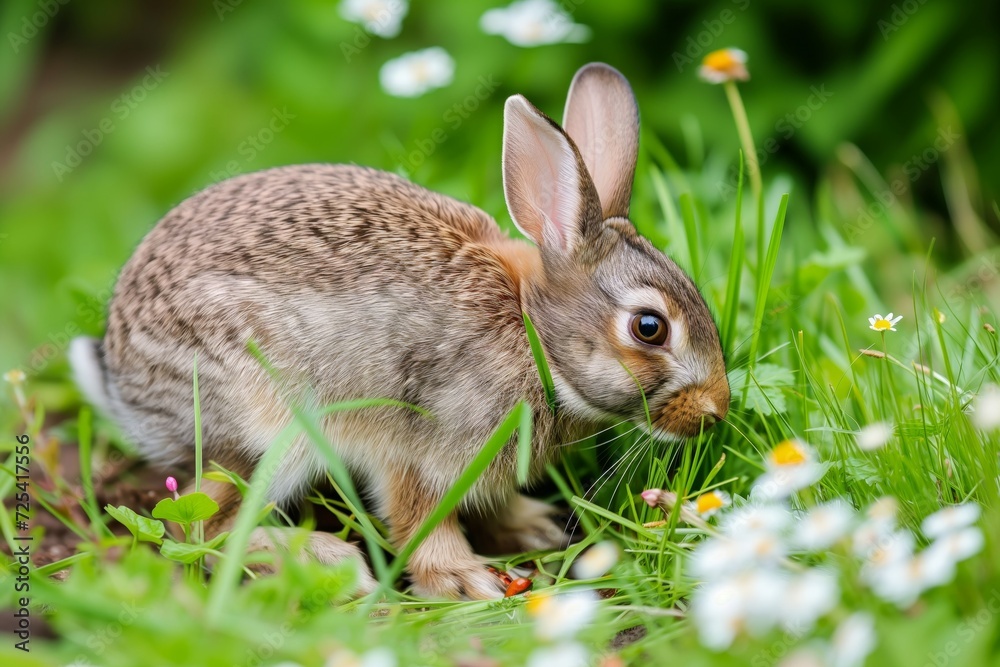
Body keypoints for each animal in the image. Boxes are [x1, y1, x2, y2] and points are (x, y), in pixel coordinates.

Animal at [69, 62, 730, 599]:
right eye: (649, 327)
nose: (715, 411)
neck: (530, 331)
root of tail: (126, 386)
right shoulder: (424, 444)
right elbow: (420, 518)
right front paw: (464, 581)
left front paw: (529, 527)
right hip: (267, 428)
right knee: (204, 527)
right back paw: (327, 564)